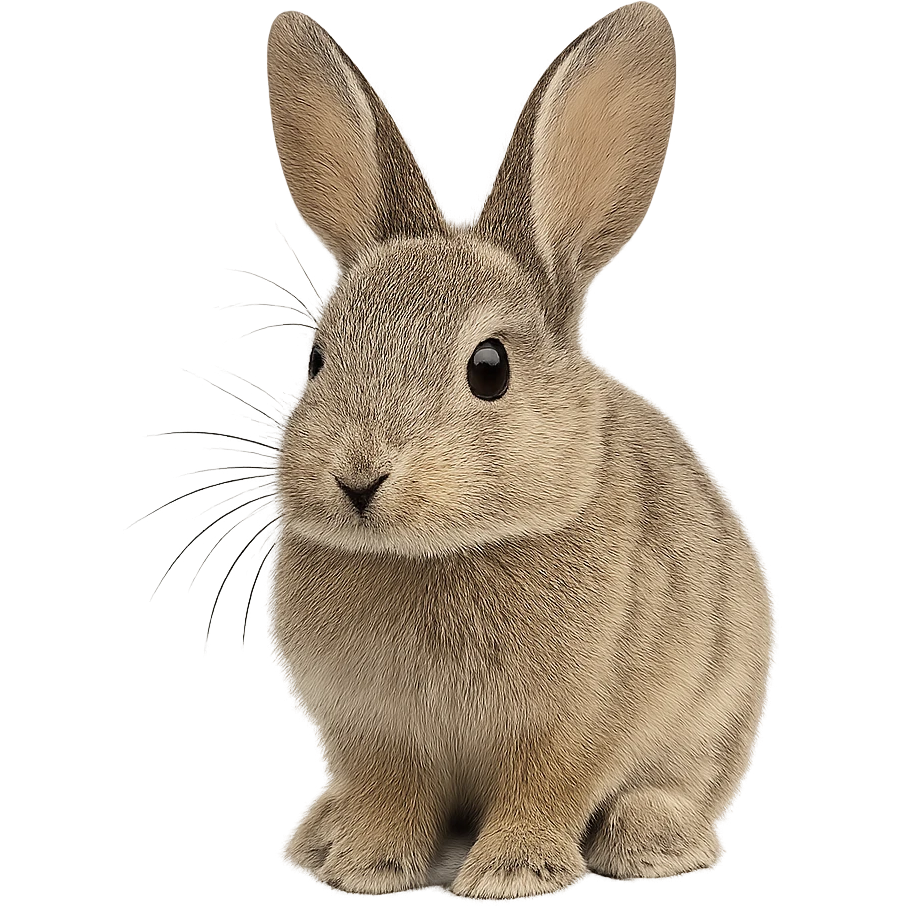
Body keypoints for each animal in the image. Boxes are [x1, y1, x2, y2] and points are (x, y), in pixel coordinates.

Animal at [265, 3, 774, 899]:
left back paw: (650, 840)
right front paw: (368, 865)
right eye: (319, 359)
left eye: (489, 368)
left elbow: (547, 788)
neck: (442, 553)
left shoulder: (578, 726)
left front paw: (512, 873)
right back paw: (322, 833)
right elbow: (392, 795)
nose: (357, 479)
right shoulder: (377, 734)